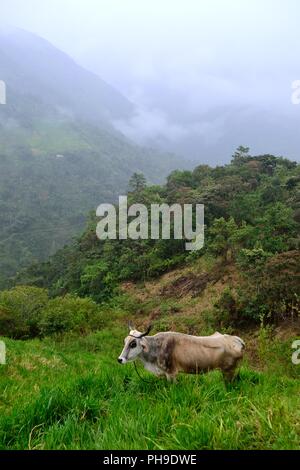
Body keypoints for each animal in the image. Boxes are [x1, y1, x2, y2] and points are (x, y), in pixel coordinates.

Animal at [116, 324, 244, 384]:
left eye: (133, 344)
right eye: (124, 341)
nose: (120, 359)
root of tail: (237, 340)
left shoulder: (171, 372)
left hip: (228, 371)